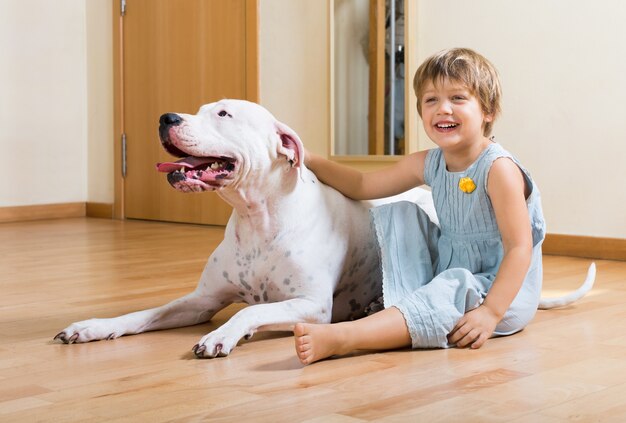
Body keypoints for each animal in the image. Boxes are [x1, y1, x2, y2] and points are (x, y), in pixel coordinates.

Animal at [54, 101, 596, 360]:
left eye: (223, 112)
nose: (166, 116)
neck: (258, 218)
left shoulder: (311, 305)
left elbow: (252, 311)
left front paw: (225, 336)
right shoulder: (200, 300)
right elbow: (144, 313)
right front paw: (93, 326)